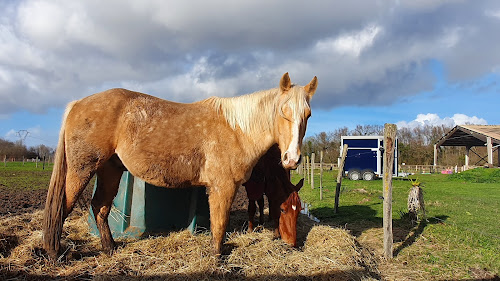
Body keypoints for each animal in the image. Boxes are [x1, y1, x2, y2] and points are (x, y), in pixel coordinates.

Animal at [42, 72, 316, 258]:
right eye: (283, 112)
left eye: (308, 115)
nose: (291, 159)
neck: (237, 129)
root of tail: (78, 104)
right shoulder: (223, 187)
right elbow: (220, 225)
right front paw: (217, 257)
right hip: (81, 170)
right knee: (62, 208)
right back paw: (55, 253)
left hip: (110, 170)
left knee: (100, 208)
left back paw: (110, 248)